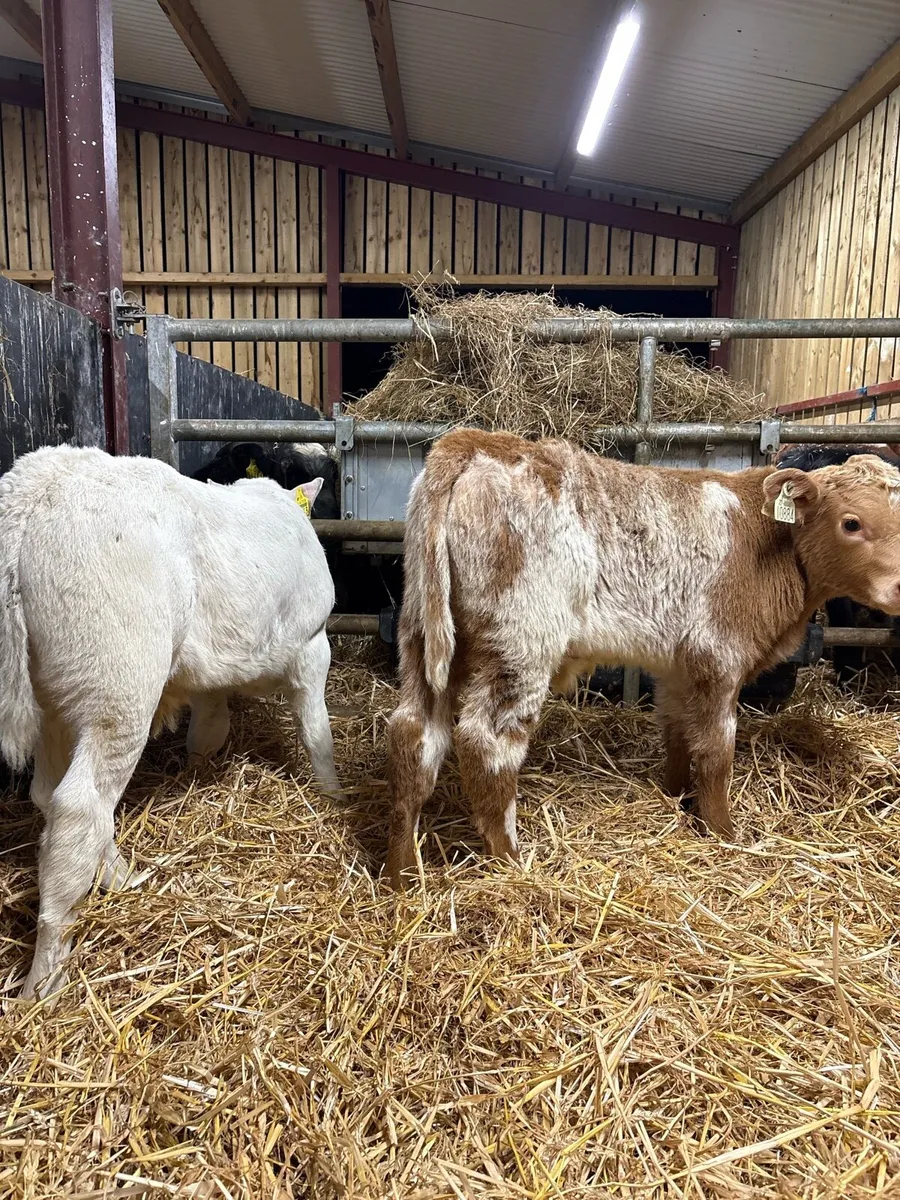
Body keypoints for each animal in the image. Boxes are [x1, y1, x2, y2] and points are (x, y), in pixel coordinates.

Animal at [0, 445, 340, 999]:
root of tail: (32, 491)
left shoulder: (213, 673)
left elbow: (209, 728)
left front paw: (200, 770)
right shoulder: (314, 645)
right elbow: (317, 735)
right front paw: (334, 795)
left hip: (56, 694)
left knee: (51, 796)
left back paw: (118, 875)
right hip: (118, 683)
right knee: (79, 807)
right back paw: (46, 978)